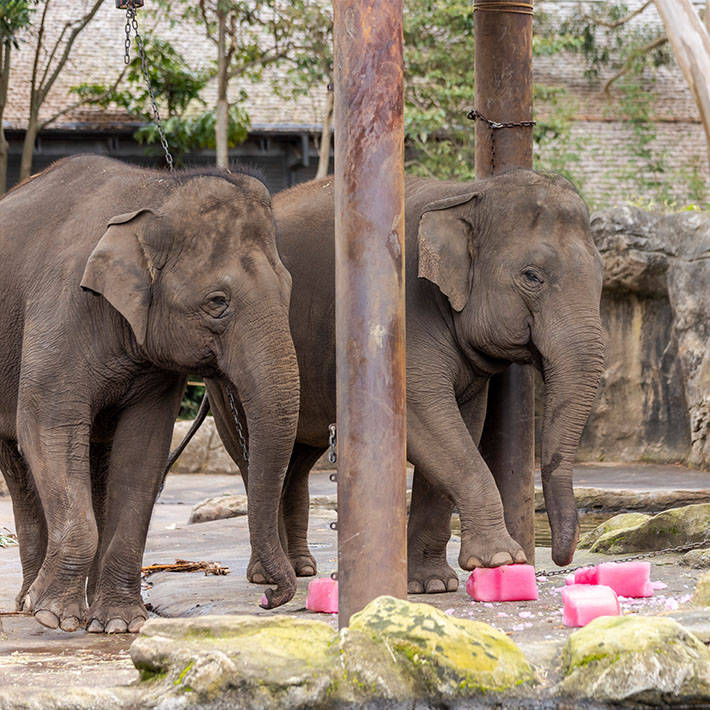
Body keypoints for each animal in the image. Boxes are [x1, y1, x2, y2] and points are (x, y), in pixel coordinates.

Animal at [0, 154, 299, 632]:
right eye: (218, 301)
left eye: (289, 290)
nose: (269, 597)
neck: (155, 192)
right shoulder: (61, 312)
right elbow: (47, 430)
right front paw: (55, 617)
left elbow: (143, 450)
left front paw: (120, 624)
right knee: (20, 464)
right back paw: (30, 602)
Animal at [204, 168, 605, 600]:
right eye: (532, 276)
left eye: (602, 275)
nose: (563, 559)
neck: (464, 194)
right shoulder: (404, 310)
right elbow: (426, 416)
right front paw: (500, 560)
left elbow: (462, 424)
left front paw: (433, 584)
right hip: (224, 368)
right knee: (251, 452)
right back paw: (268, 576)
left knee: (294, 460)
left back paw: (301, 568)